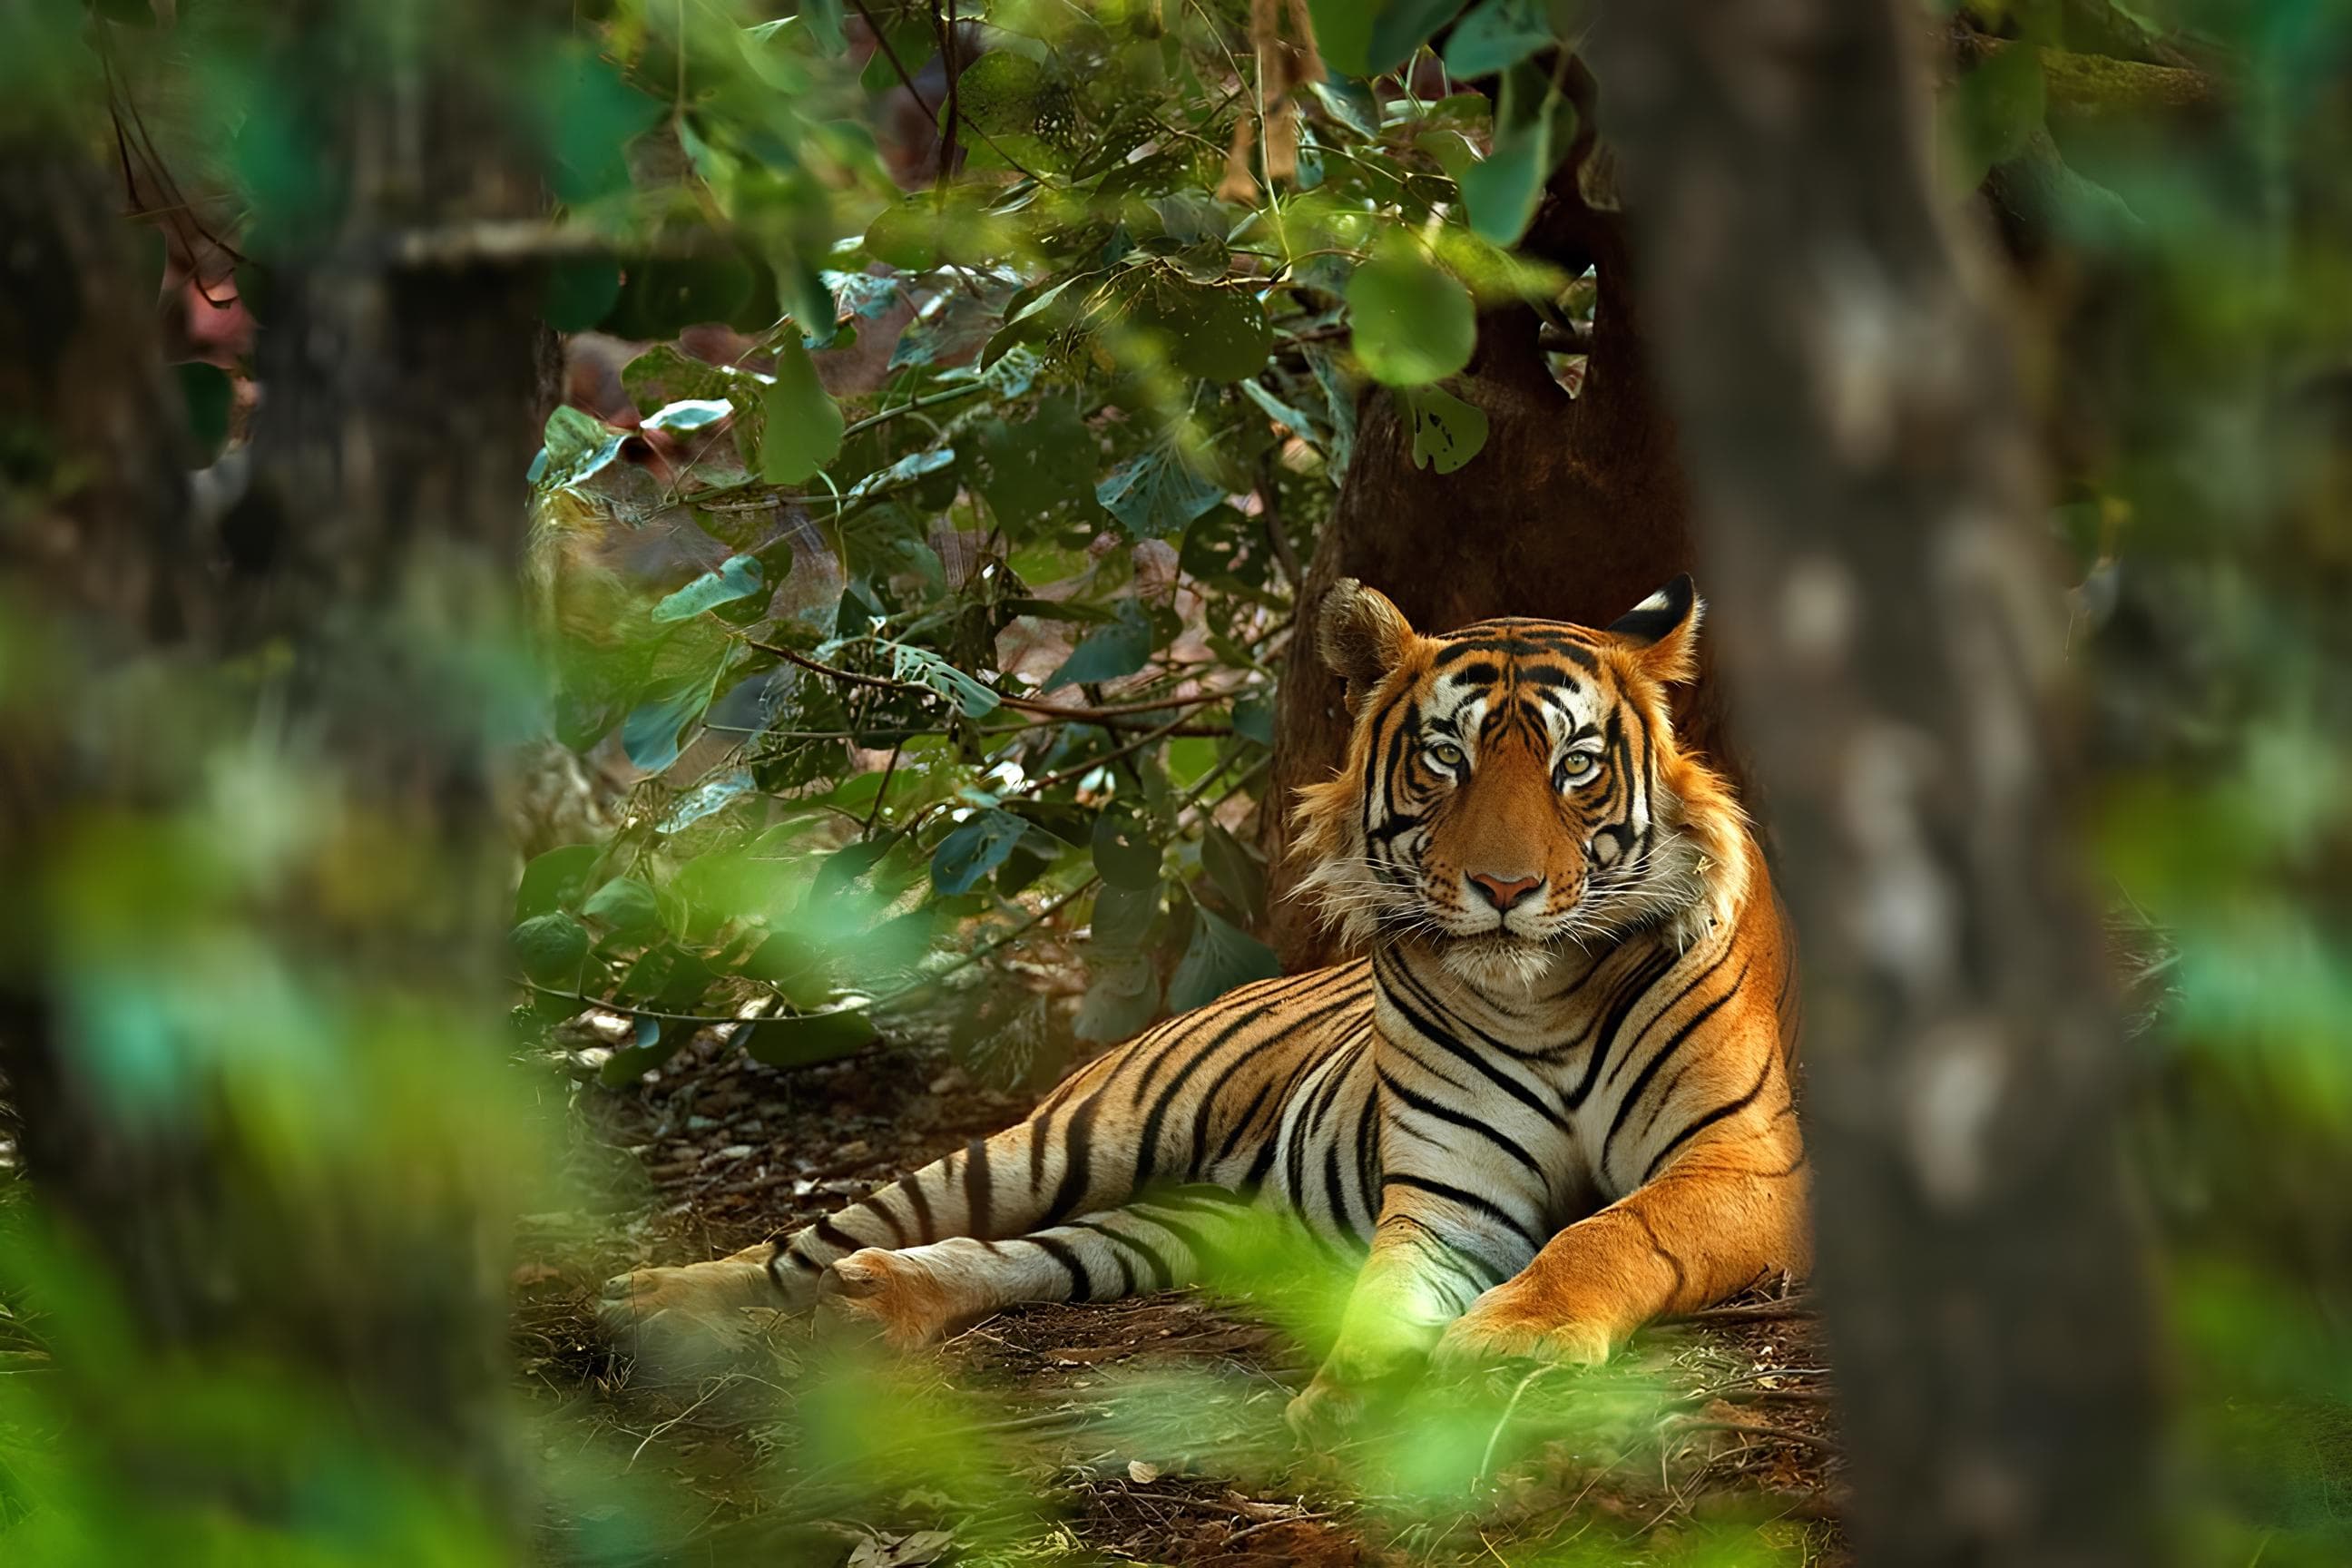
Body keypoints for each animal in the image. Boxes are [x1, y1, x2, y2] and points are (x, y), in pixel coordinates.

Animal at [601, 575, 1809, 1427]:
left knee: (1028, 1254)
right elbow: (1386, 1296)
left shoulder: (1744, 1161)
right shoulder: (1449, 1197)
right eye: (1444, 760)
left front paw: (1512, 1341)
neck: (1541, 997)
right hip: (1063, 1141)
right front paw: (1355, 1395)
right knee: (818, 1237)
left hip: (1180, 1226)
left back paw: (879, 1300)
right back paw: (658, 1299)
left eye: (1576, 768)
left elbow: (1611, 1232)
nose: (1505, 890)